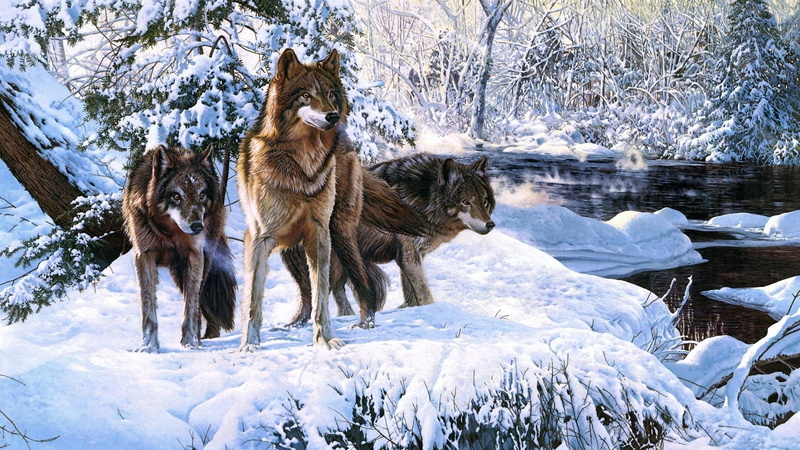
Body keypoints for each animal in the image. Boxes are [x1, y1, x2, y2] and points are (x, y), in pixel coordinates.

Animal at [122, 145, 237, 352]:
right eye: (176, 196)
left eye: (201, 195)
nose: (197, 226)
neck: (170, 233)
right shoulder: (144, 256)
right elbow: (148, 304)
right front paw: (148, 346)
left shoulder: (194, 255)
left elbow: (191, 305)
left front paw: (190, 342)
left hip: (201, 263)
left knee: (199, 300)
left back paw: (201, 338)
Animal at [237, 48, 424, 350]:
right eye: (305, 95)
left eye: (331, 94)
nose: (333, 116)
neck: (301, 166)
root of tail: (347, 143)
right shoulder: (259, 238)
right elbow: (254, 297)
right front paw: (249, 345)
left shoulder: (319, 232)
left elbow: (322, 294)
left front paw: (325, 340)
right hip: (291, 252)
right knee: (305, 294)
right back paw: (294, 325)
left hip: (340, 232)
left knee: (362, 282)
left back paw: (365, 323)